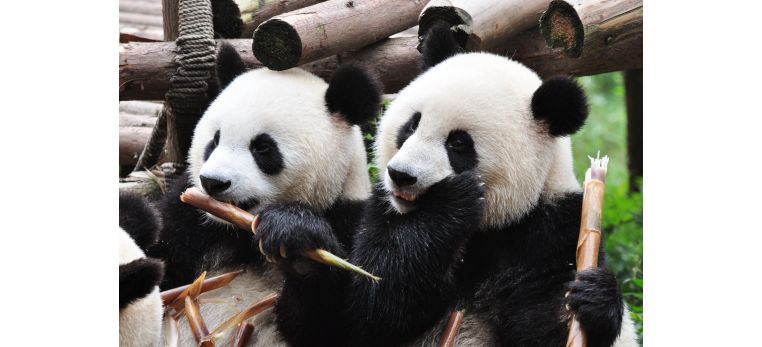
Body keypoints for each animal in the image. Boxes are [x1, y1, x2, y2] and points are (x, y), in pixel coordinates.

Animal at [145, 42, 380, 346]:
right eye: (214, 140)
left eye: (263, 148)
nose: (213, 182)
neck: (237, 232)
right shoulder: (189, 216)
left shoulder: (350, 220)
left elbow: (337, 325)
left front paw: (297, 242)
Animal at [254, 22, 636, 347]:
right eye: (411, 124)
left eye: (459, 143)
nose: (402, 175)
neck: (486, 231)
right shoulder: (378, 213)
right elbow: (363, 312)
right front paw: (297, 239)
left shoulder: (552, 229)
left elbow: (544, 323)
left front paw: (594, 299)